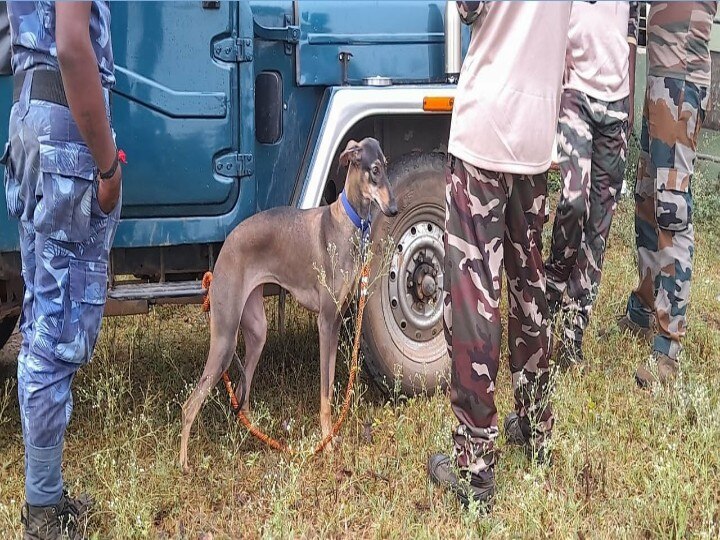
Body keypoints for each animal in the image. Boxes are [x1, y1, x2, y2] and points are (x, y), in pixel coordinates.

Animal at [177, 137, 396, 470]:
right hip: (224, 340)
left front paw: (330, 438)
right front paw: (326, 443)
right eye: (374, 170)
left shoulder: (336, 322)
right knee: (191, 404)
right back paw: (184, 462)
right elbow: (324, 393)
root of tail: (226, 247)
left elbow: (329, 386)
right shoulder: (325, 323)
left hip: (256, 332)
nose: (394, 208)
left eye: (385, 165)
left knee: (241, 393)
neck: (346, 223)